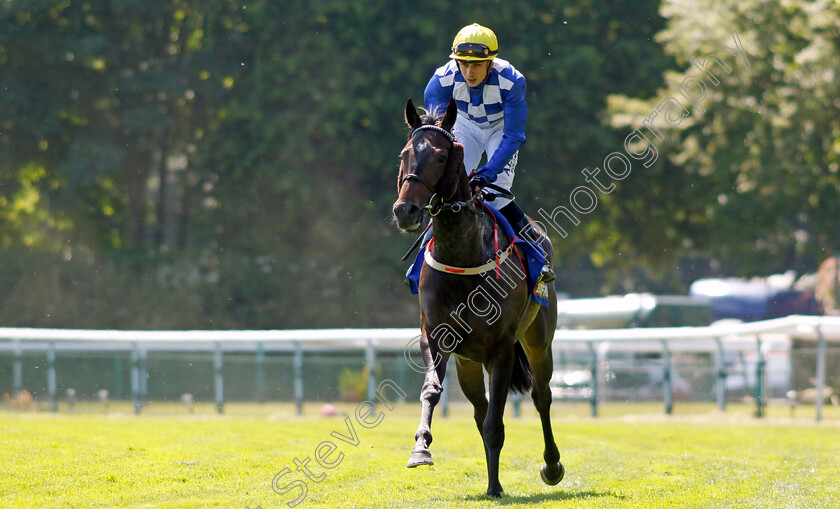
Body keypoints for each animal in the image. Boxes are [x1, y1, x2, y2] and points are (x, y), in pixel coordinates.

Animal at [392, 96, 564, 496]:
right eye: (405, 154)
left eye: (441, 156)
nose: (405, 210)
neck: (462, 253)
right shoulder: (436, 336)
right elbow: (432, 390)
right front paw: (420, 448)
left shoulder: (501, 349)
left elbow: (496, 422)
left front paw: (496, 488)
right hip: (469, 363)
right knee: (479, 408)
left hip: (538, 341)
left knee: (541, 395)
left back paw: (551, 465)